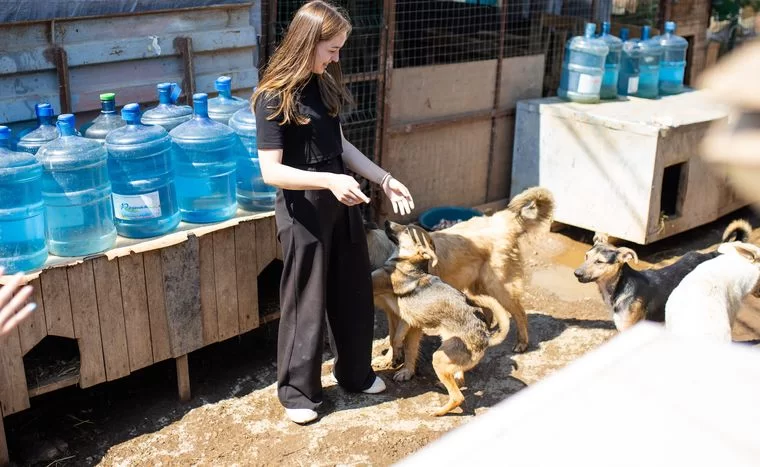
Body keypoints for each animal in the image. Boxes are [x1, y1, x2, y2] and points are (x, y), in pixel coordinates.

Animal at [372, 223, 508, 416]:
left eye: (406, 231)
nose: (386, 223)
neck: (411, 264)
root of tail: (486, 337)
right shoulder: (406, 318)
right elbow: (395, 338)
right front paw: (394, 355)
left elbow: (399, 340)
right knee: (459, 380)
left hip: (438, 358)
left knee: (458, 397)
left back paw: (438, 411)